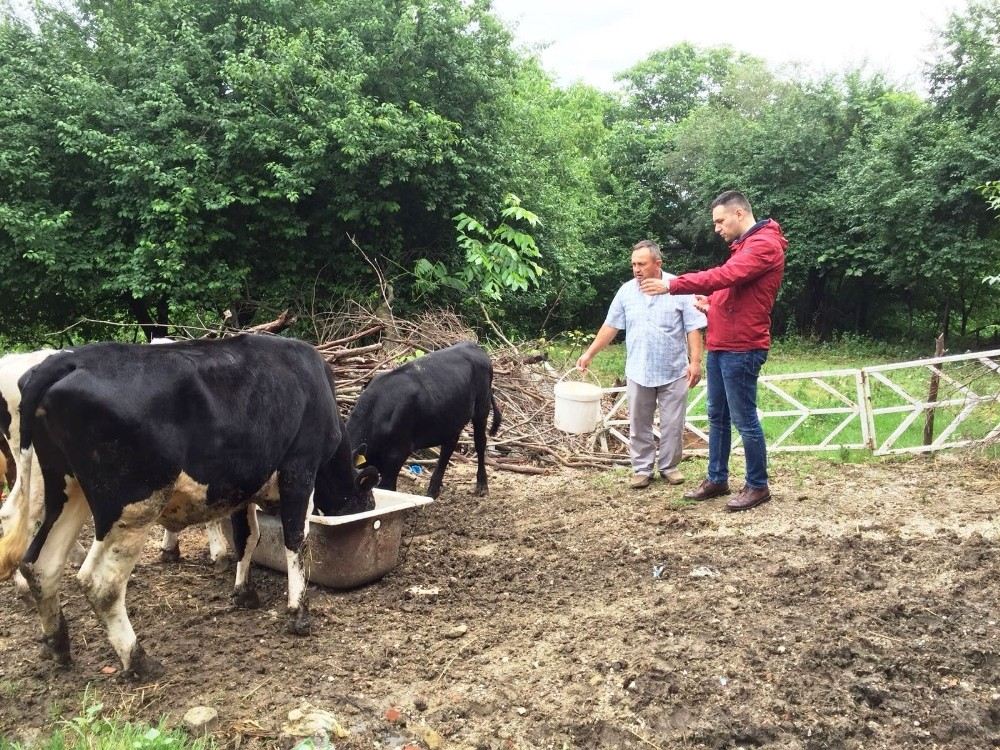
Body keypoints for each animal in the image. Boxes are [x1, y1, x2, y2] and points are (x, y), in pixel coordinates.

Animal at [0, 338, 378, 680]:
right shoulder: (299, 468)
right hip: (133, 505)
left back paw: (58, 646)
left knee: (40, 564)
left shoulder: (243, 486)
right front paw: (299, 612)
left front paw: (244, 593)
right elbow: (295, 539)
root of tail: (67, 360)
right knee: (101, 583)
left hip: (64, 489)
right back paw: (138, 660)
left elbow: (247, 538)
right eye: (367, 500)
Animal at [350, 342, 504, 500]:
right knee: (448, 447)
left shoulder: (396, 456)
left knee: (480, 443)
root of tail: (473, 345)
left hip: (482, 408)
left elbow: (389, 488)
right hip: (452, 418)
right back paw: (433, 490)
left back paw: (482, 485)